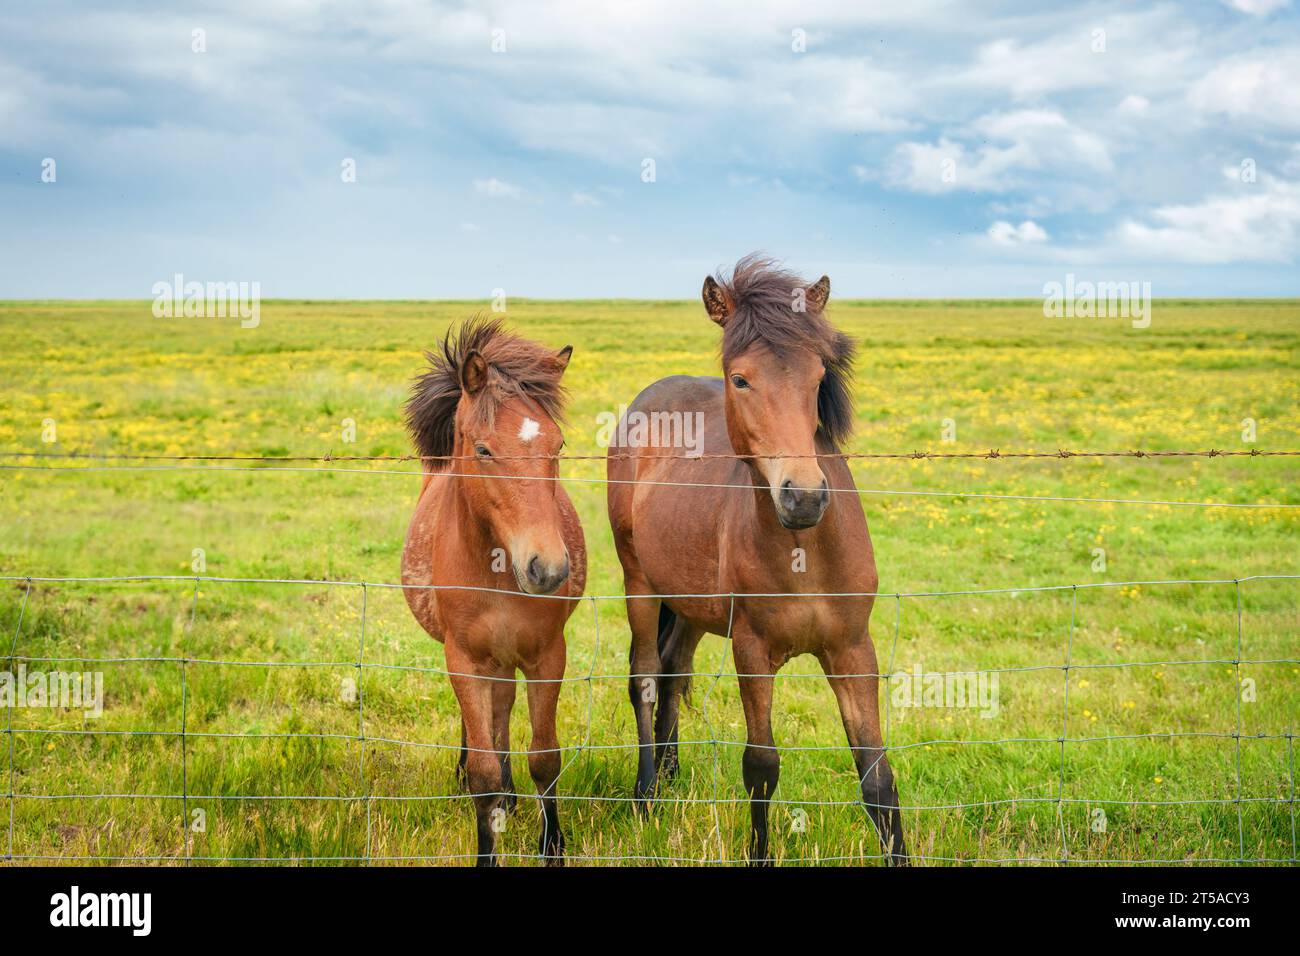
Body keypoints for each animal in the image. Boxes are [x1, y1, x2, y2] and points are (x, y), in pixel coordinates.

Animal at [397, 316, 587, 868]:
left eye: (557, 446)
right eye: (483, 449)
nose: (548, 567)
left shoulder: (548, 656)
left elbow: (544, 758)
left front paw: (552, 847)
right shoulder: (464, 659)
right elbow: (482, 769)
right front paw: (487, 833)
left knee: (503, 711)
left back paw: (512, 796)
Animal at [605, 254, 904, 868]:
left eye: (818, 378)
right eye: (740, 379)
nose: (804, 497)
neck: (807, 555)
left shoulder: (852, 650)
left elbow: (877, 778)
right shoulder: (753, 651)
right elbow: (762, 766)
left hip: (691, 604)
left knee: (672, 669)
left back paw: (670, 774)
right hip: (638, 581)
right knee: (644, 675)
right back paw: (647, 795)